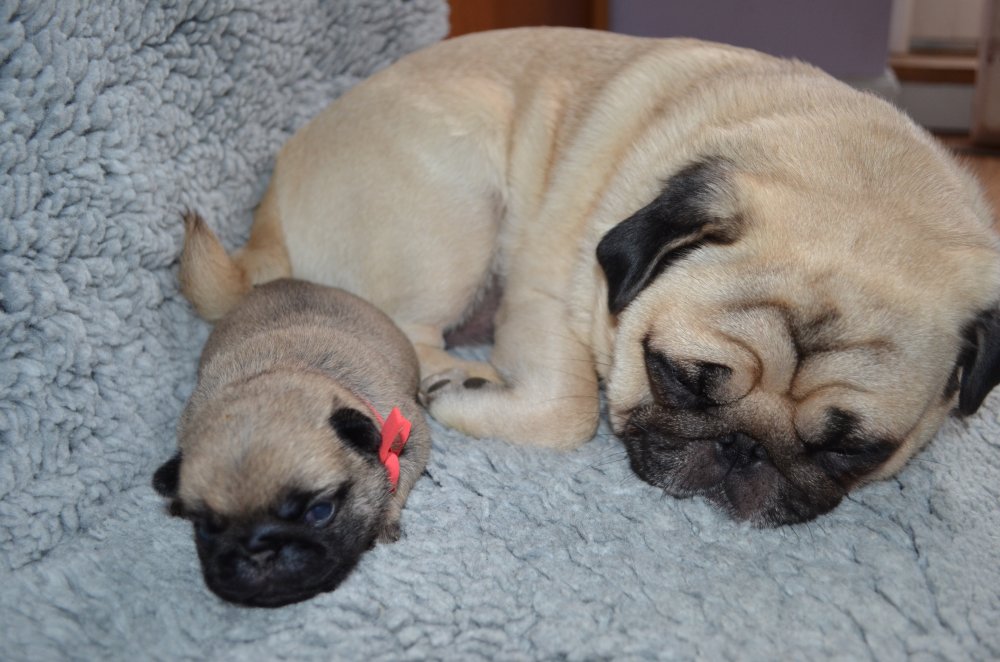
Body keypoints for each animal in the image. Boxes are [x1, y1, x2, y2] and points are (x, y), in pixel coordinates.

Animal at [152, 213, 430, 607]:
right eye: (205, 530)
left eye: (320, 511)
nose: (258, 551)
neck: (287, 371)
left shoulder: (412, 435)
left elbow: (400, 478)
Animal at [202, 28, 1000, 526]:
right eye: (681, 378)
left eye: (852, 449)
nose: (742, 449)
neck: (861, 178)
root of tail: (266, 216)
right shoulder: (544, 298)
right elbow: (570, 410)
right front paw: (465, 401)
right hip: (458, 198)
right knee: (399, 325)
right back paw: (449, 376)